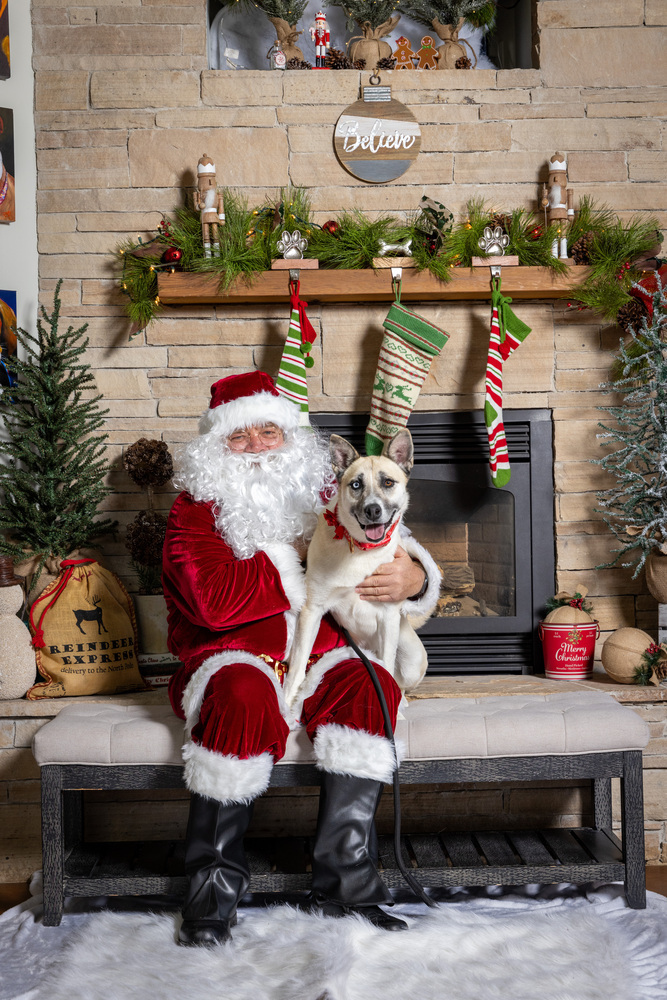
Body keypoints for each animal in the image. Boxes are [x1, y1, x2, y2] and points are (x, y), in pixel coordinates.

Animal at [284, 432, 434, 712]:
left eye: (388, 482)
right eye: (355, 485)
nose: (373, 510)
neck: (361, 550)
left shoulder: (388, 617)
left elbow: (386, 669)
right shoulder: (312, 610)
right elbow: (297, 666)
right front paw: (286, 703)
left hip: (412, 659)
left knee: (399, 681)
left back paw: (401, 705)